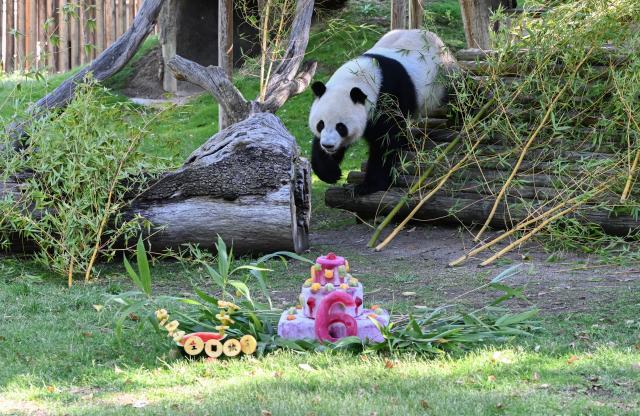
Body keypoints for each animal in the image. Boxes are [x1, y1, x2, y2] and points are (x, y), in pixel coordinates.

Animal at [308, 29, 457, 195]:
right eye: (320, 124)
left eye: (341, 127)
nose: (328, 145)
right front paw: (330, 172)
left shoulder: (388, 97)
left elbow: (384, 143)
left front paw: (369, 186)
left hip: (442, 77)